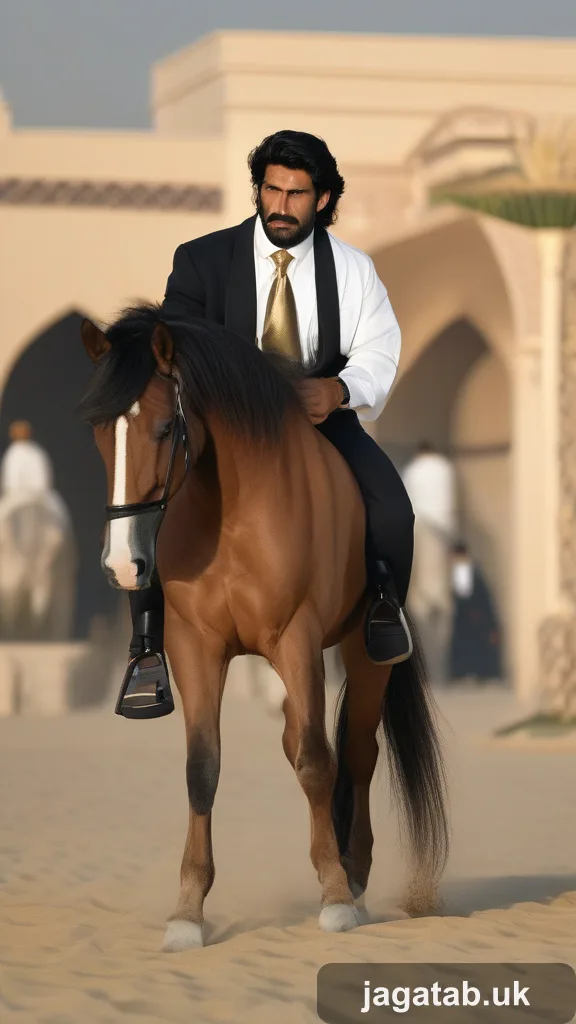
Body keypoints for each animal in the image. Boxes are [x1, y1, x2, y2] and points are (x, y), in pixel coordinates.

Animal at [79, 303, 449, 952]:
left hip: (363, 653)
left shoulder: (296, 639)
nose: (124, 564)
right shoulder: (195, 648)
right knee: (304, 741)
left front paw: (334, 896)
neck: (228, 510)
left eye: (165, 430)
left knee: (354, 751)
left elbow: (316, 761)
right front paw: (187, 910)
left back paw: (353, 873)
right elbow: (202, 769)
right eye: (102, 434)